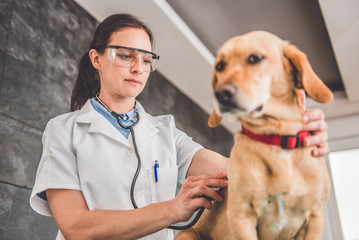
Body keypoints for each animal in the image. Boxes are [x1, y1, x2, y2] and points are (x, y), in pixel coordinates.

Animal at [176, 31, 334, 240]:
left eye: (255, 58)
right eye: (220, 66)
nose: (220, 94)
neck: (277, 138)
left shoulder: (315, 218)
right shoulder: (242, 216)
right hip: (188, 234)